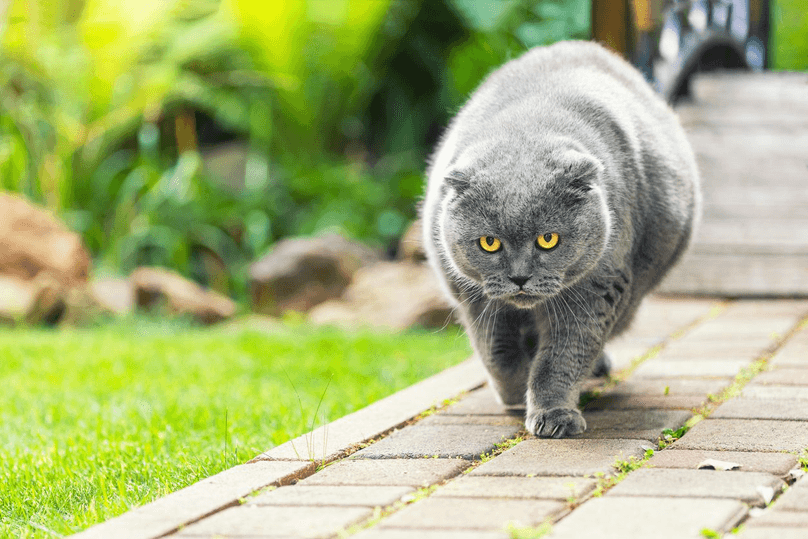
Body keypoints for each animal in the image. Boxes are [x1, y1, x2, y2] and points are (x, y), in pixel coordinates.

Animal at [422, 41, 700, 438]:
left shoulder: (597, 288)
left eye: (548, 240)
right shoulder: (470, 296)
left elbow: (562, 357)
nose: (519, 277)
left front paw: (554, 415)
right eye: (489, 243)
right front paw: (514, 394)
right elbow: (497, 352)